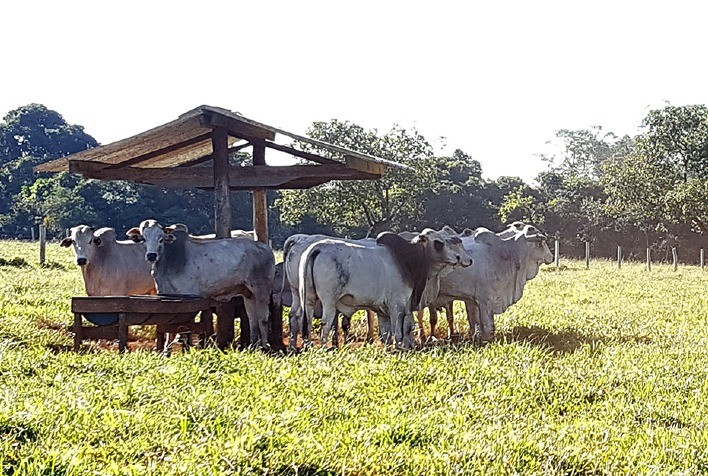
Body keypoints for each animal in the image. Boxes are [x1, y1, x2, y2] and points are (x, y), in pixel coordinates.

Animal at [126, 221, 276, 348]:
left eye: (161, 239)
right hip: (248, 294)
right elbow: (168, 328)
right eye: (144, 239)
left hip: (261, 290)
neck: (168, 260)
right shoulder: (167, 297)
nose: (151, 255)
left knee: (263, 318)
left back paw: (264, 346)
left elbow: (183, 328)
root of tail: (266, 248)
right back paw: (254, 345)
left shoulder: (188, 298)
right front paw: (166, 349)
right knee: (252, 319)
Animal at [298, 229, 470, 348]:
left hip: (308, 299)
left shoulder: (382, 310)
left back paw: (308, 347)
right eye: (438, 243)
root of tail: (318, 247)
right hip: (329, 301)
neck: (409, 260)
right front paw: (399, 349)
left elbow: (388, 333)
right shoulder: (397, 306)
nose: (458, 258)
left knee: (307, 322)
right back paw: (323, 348)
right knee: (326, 323)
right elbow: (399, 332)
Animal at [428, 223, 556, 342]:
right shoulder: (485, 299)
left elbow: (474, 322)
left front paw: (476, 338)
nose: (552, 257)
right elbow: (487, 325)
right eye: (540, 244)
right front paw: (487, 340)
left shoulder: (471, 300)